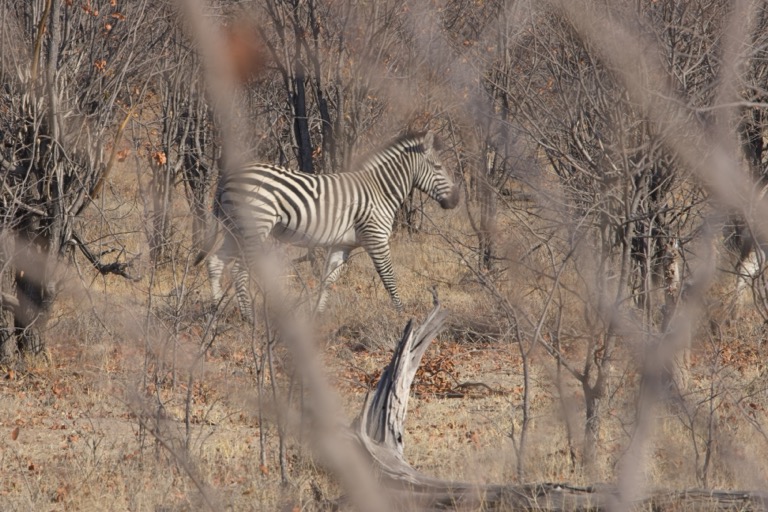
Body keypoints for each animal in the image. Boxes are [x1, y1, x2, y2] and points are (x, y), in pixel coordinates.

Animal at [195, 131, 460, 321]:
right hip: (254, 228)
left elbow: (328, 279)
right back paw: (249, 318)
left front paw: (317, 316)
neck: (380, 190)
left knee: (215, 262)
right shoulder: (376, 238)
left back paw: (215, 310)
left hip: (234, 230)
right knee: (239, 271)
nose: (456, 201)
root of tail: (227, 177)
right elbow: (388, 276)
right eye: (438, 167)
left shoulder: (343, 244)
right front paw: (401, 314)